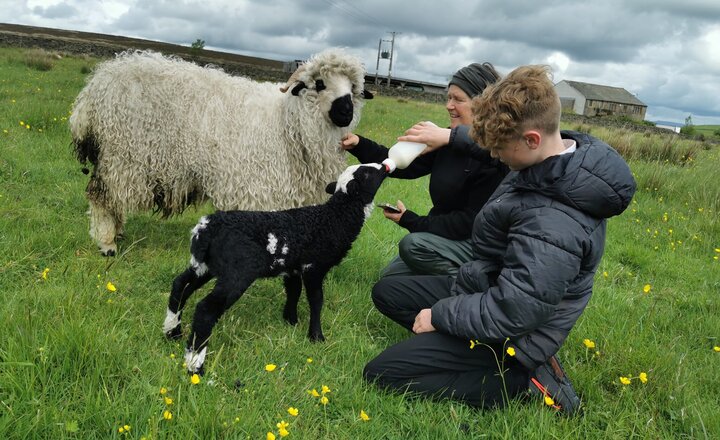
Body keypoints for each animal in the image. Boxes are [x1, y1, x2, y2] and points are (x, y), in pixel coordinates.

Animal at [162, 163, 388, 372]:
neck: (334, 218)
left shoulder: (292, 268)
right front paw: (316, 336)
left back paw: (172, 332)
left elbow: (293, 292)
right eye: (367, 173)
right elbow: (316, 300)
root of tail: (206, 228)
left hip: (205, 265)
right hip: (238, 271)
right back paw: (195, 364)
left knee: (180, 286)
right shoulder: (314, 267)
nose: (385, 166)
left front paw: (291, 321)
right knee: (205, 309)